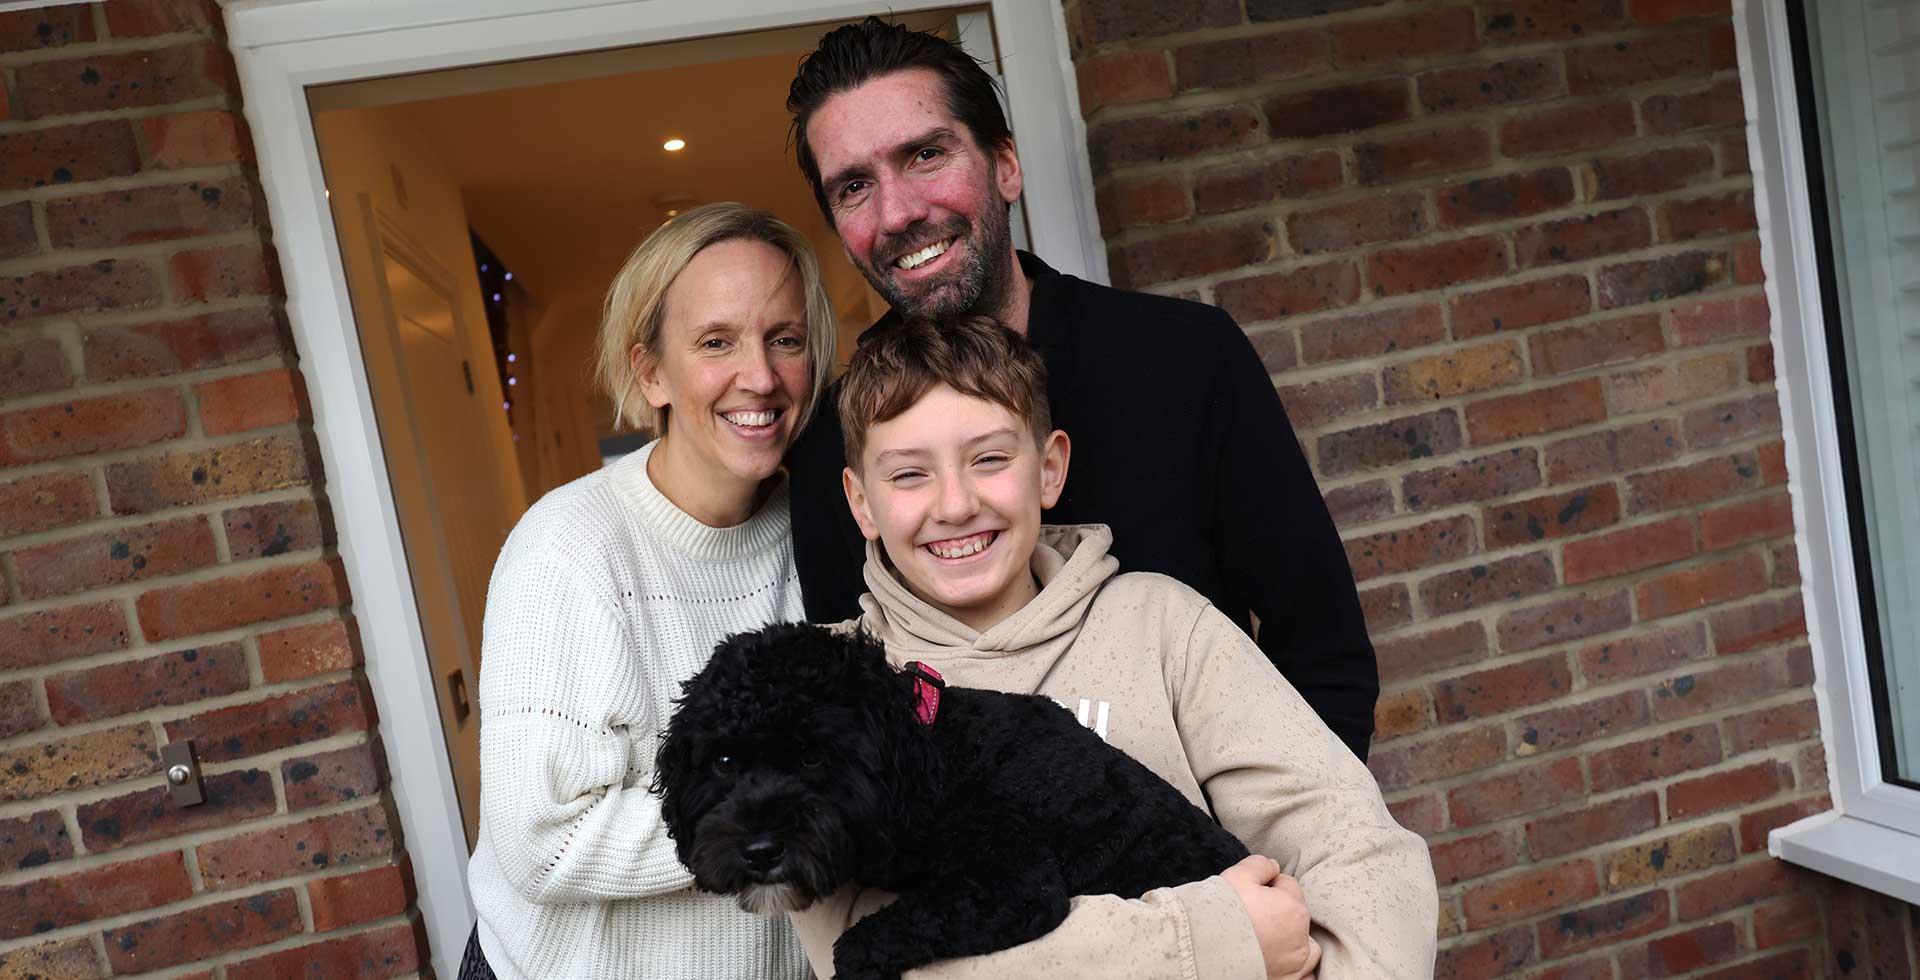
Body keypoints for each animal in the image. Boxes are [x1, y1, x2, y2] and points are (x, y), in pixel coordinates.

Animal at [652, 622, 1251, 976]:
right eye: (723, 762)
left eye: (812, 757)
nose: (759, 851)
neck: (933, 762)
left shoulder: (1014, 885)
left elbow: (867, 940)